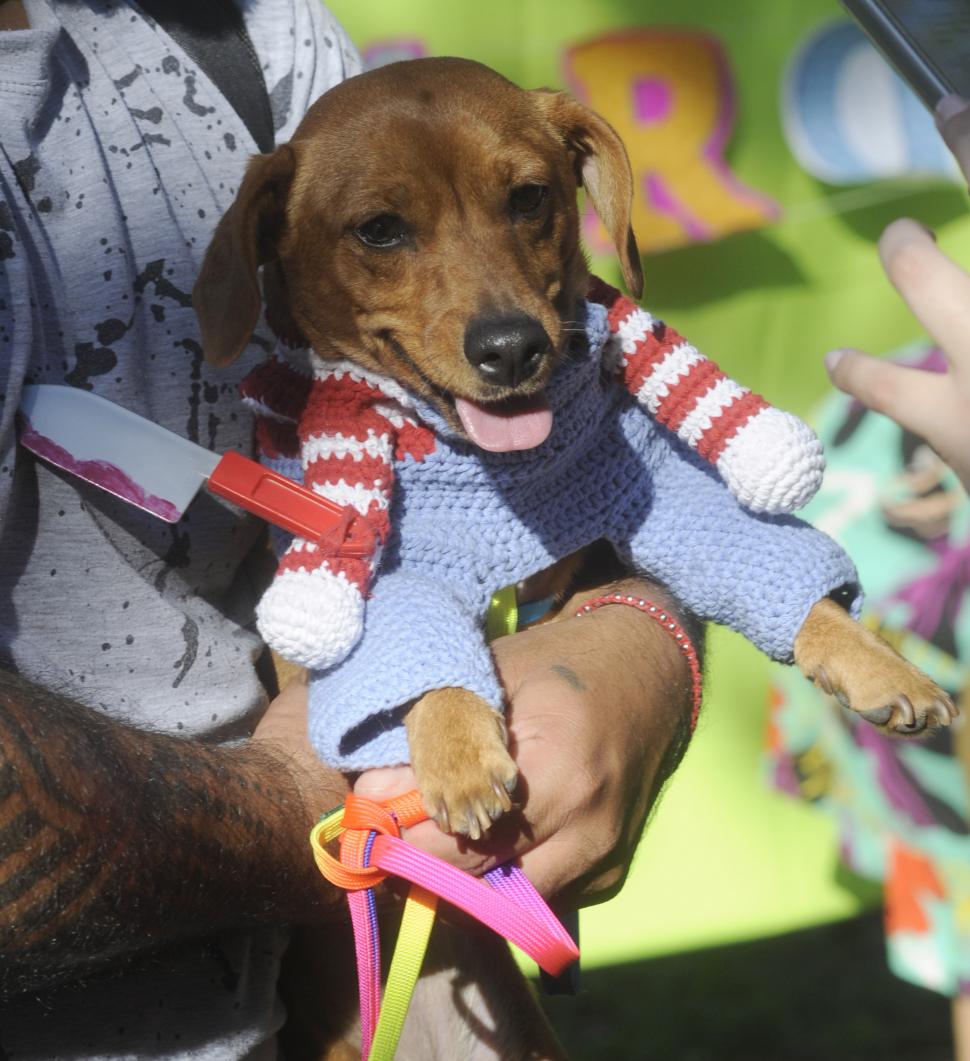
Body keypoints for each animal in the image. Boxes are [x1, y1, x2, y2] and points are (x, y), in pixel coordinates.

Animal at [193, 60, 950, 844]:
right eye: (378, 230)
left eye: (529, 197)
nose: (511, 346)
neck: (488, 468)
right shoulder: (382, 569)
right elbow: (415, 662)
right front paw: (458, 745)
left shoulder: (647, 499)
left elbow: (754, 557)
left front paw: (873, 660)